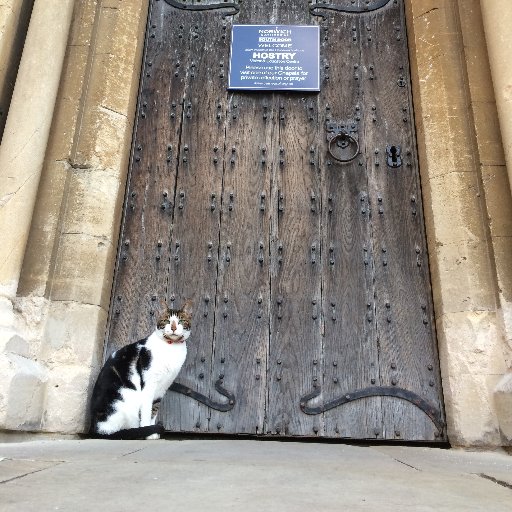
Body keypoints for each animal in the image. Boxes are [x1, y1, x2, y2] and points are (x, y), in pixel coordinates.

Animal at [88, 300, 192, 440]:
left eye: (181, 321)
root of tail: (95, 429)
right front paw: (148, 431)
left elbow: (154, 410)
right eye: (167, 321)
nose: (174, 328)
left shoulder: (162, 388)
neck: (171, 348)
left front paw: (152, 433)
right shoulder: (148, 385)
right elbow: (147, 411)